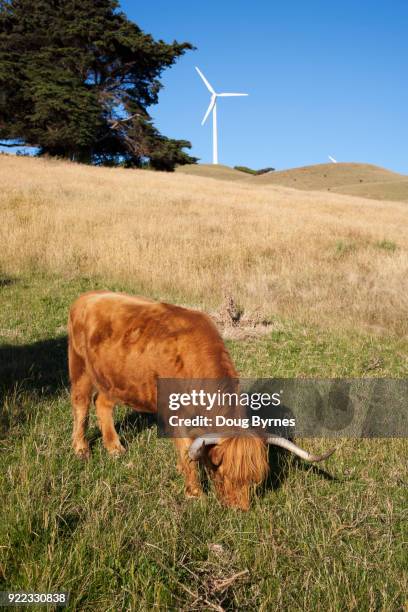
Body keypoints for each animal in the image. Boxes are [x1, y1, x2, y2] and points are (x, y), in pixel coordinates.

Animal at [67, 290, 334, 510]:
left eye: (253, 479)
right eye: (222, 473)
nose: (240, 509)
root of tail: (89, 296)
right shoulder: (175, 415)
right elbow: (187, 451)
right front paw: (195, 493)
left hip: (113, 378)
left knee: (102, 403)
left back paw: (114, 448)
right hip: (80, 365)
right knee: (81, 404)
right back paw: (81, 448)